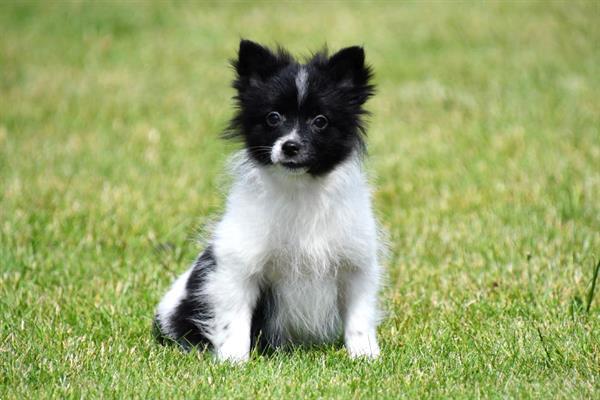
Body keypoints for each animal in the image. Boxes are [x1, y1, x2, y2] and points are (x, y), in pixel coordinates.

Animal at [155, 40, 380, 362]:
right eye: (273, 118)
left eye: (320, 121)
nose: (290, 146)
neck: (299, 189)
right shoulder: (238, 267)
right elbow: (234, 320)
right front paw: (233, 360)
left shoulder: (356, 265)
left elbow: (360, 316)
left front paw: (365, 355)